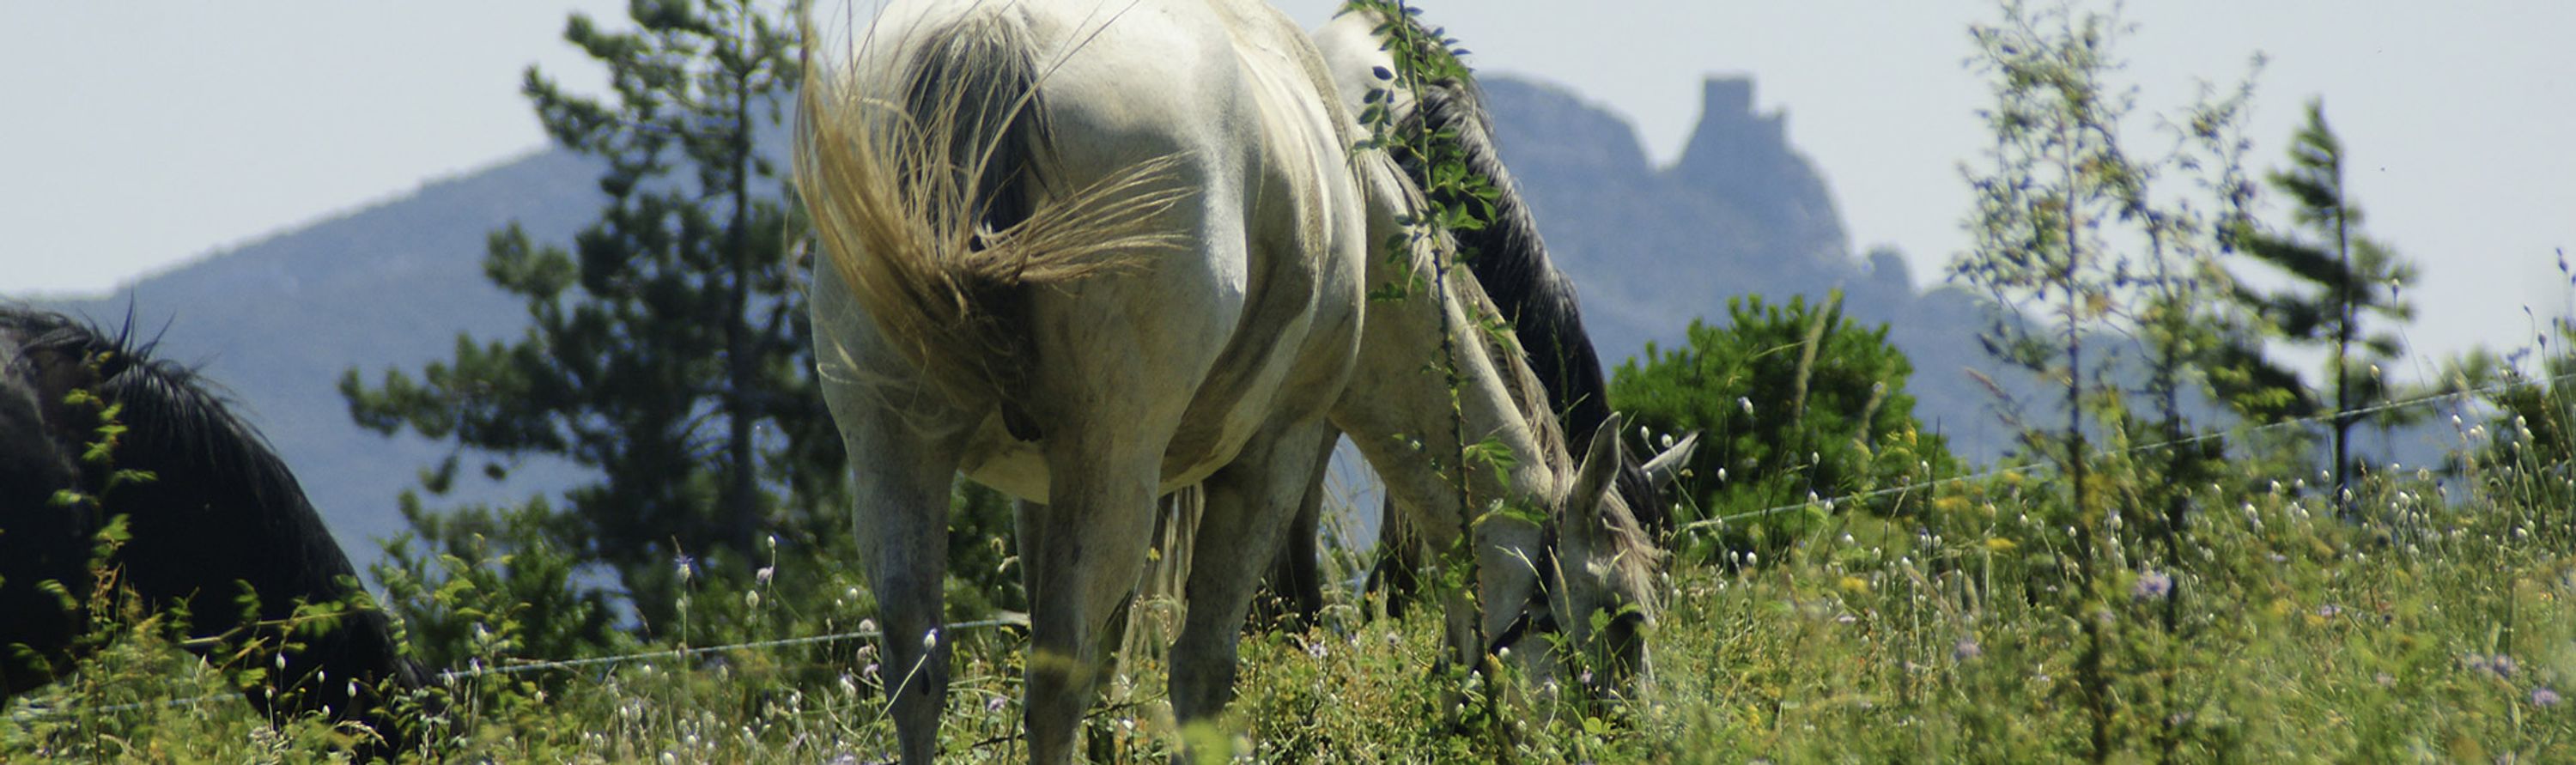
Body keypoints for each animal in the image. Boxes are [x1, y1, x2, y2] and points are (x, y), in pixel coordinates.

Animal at [794, 0, 1661, 760]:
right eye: (1624, 618)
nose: (1626, 736)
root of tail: (993, 35)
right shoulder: (1277, 452)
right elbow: (1209, 666)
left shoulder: (1041, 486)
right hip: (1114, 463)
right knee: (1059, 682)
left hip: (896, 454)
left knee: (922, 667)